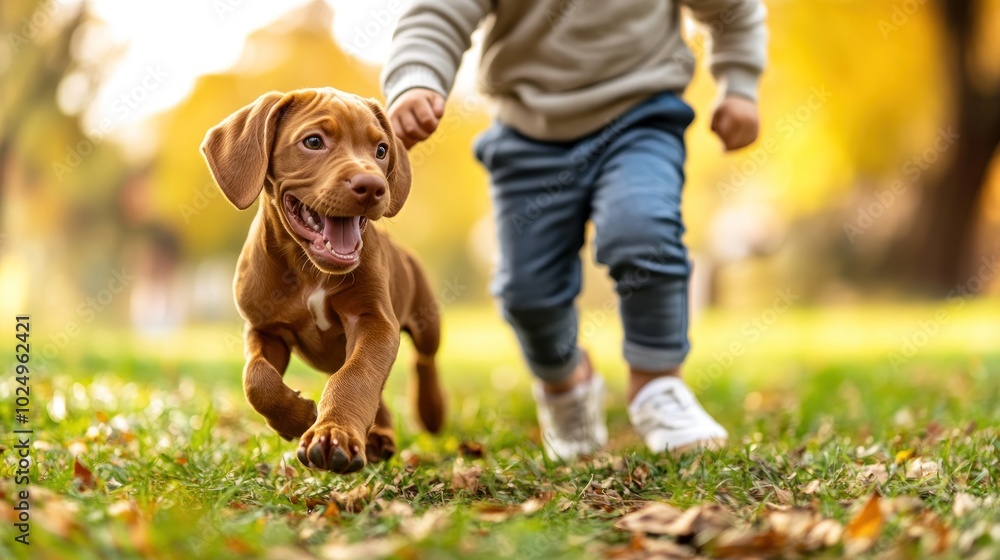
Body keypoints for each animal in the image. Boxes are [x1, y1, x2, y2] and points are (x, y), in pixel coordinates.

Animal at [201, 87, 444, 472]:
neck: (309, 270)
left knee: (424, 359)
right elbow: (256, 378)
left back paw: (429, 411)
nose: (373, 186)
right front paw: (298, 418)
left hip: (425, 317)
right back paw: (378, 437)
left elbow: (355, 376)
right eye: (313, 141)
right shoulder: (264, 328)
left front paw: (333, 433)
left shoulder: (374, 321)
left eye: (381, 150)